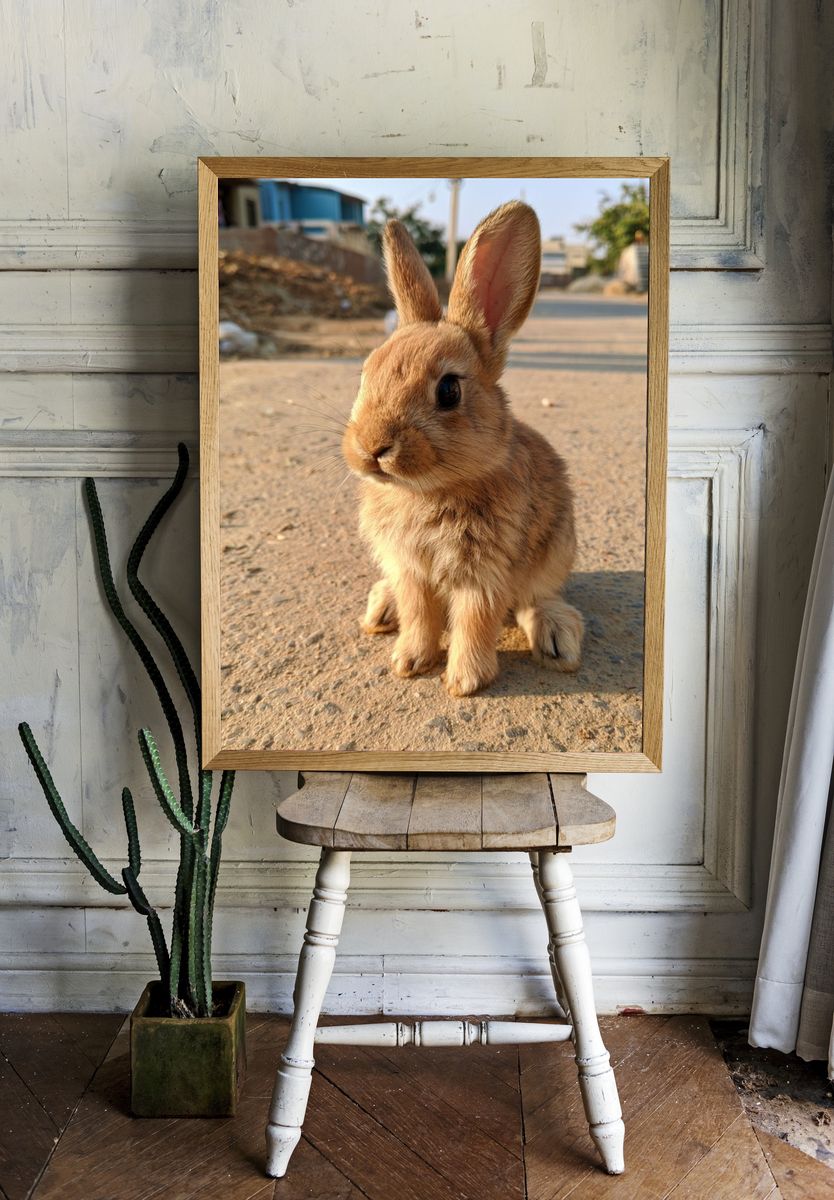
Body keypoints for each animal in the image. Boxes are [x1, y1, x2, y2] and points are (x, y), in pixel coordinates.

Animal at [342, 200, 583, 698]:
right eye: (365, 374)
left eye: (449, 390)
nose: (371, 448)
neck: (427, 491)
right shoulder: (410, 570)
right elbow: (419, 614)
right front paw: (410, 661)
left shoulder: (485, 574)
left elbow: (475, 621)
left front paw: (464, 682)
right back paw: (382, 608)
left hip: (556, 551)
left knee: (537, 598)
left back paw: (557, 636)